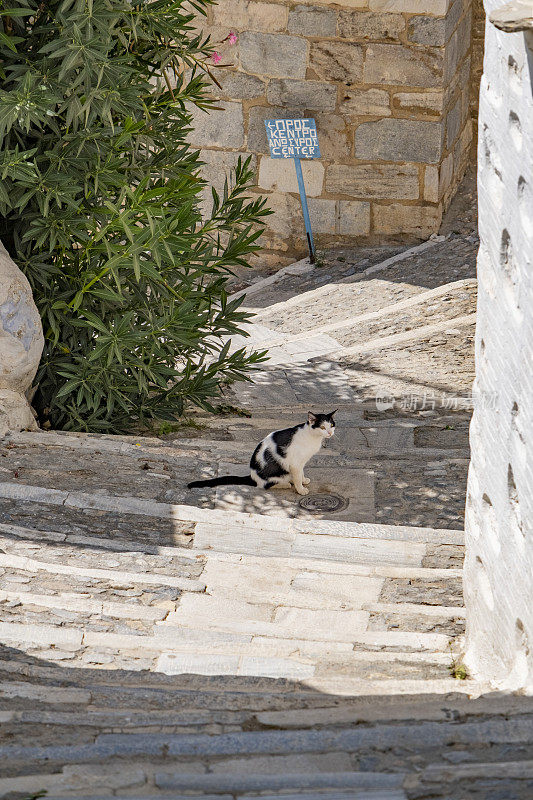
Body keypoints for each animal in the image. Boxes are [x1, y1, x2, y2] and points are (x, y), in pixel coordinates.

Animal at [189, 412, 334, 494]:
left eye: (332, 425)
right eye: (322, 427)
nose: (330, 433)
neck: (313, 437)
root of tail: (252, 476)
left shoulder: (301, 462)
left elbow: (301, 473)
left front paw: (304, 480)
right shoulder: (295, 464)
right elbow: (297, 477)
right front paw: (301, 489)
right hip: (277, 474)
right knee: (265, 485)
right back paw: (286, 484)